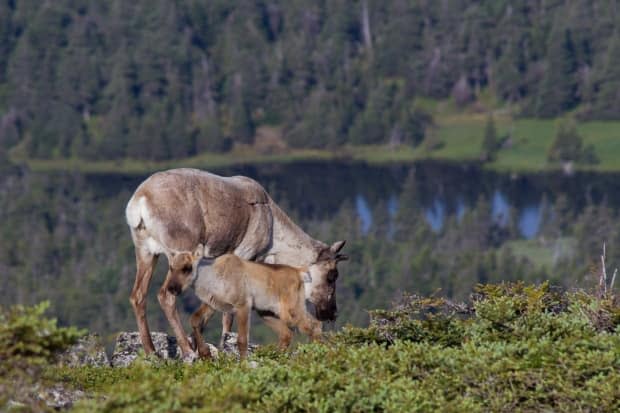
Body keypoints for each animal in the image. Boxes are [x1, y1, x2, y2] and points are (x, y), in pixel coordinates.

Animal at [170, 245, 324, 358]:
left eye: (187, 267)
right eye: (171, 267)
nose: (172, 288)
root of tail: (299, 272)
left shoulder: (242, 305)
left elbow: (242, 340)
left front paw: (243, 364)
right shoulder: (212, 303)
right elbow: (195, 320)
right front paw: (205, 354)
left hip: (289, 310)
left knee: (313, 325)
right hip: (268, 312)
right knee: (289, 332)